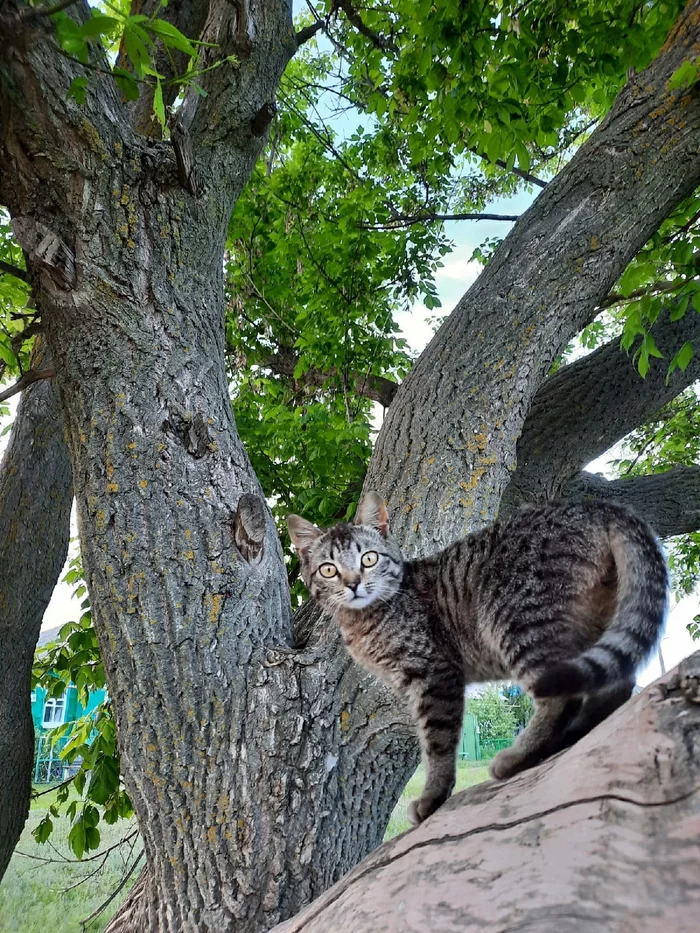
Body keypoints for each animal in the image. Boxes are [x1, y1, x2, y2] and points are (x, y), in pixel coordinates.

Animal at [288, 492, 668, 820]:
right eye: (328, 569)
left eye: (369, 558)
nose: (352, 583)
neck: (365, 619)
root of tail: (597, 505)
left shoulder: (434, 675)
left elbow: (437, 744)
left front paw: (432, 797)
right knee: (616, 682)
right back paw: (578, 731)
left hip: (518, 621)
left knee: (564, 697)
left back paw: (520, 756)